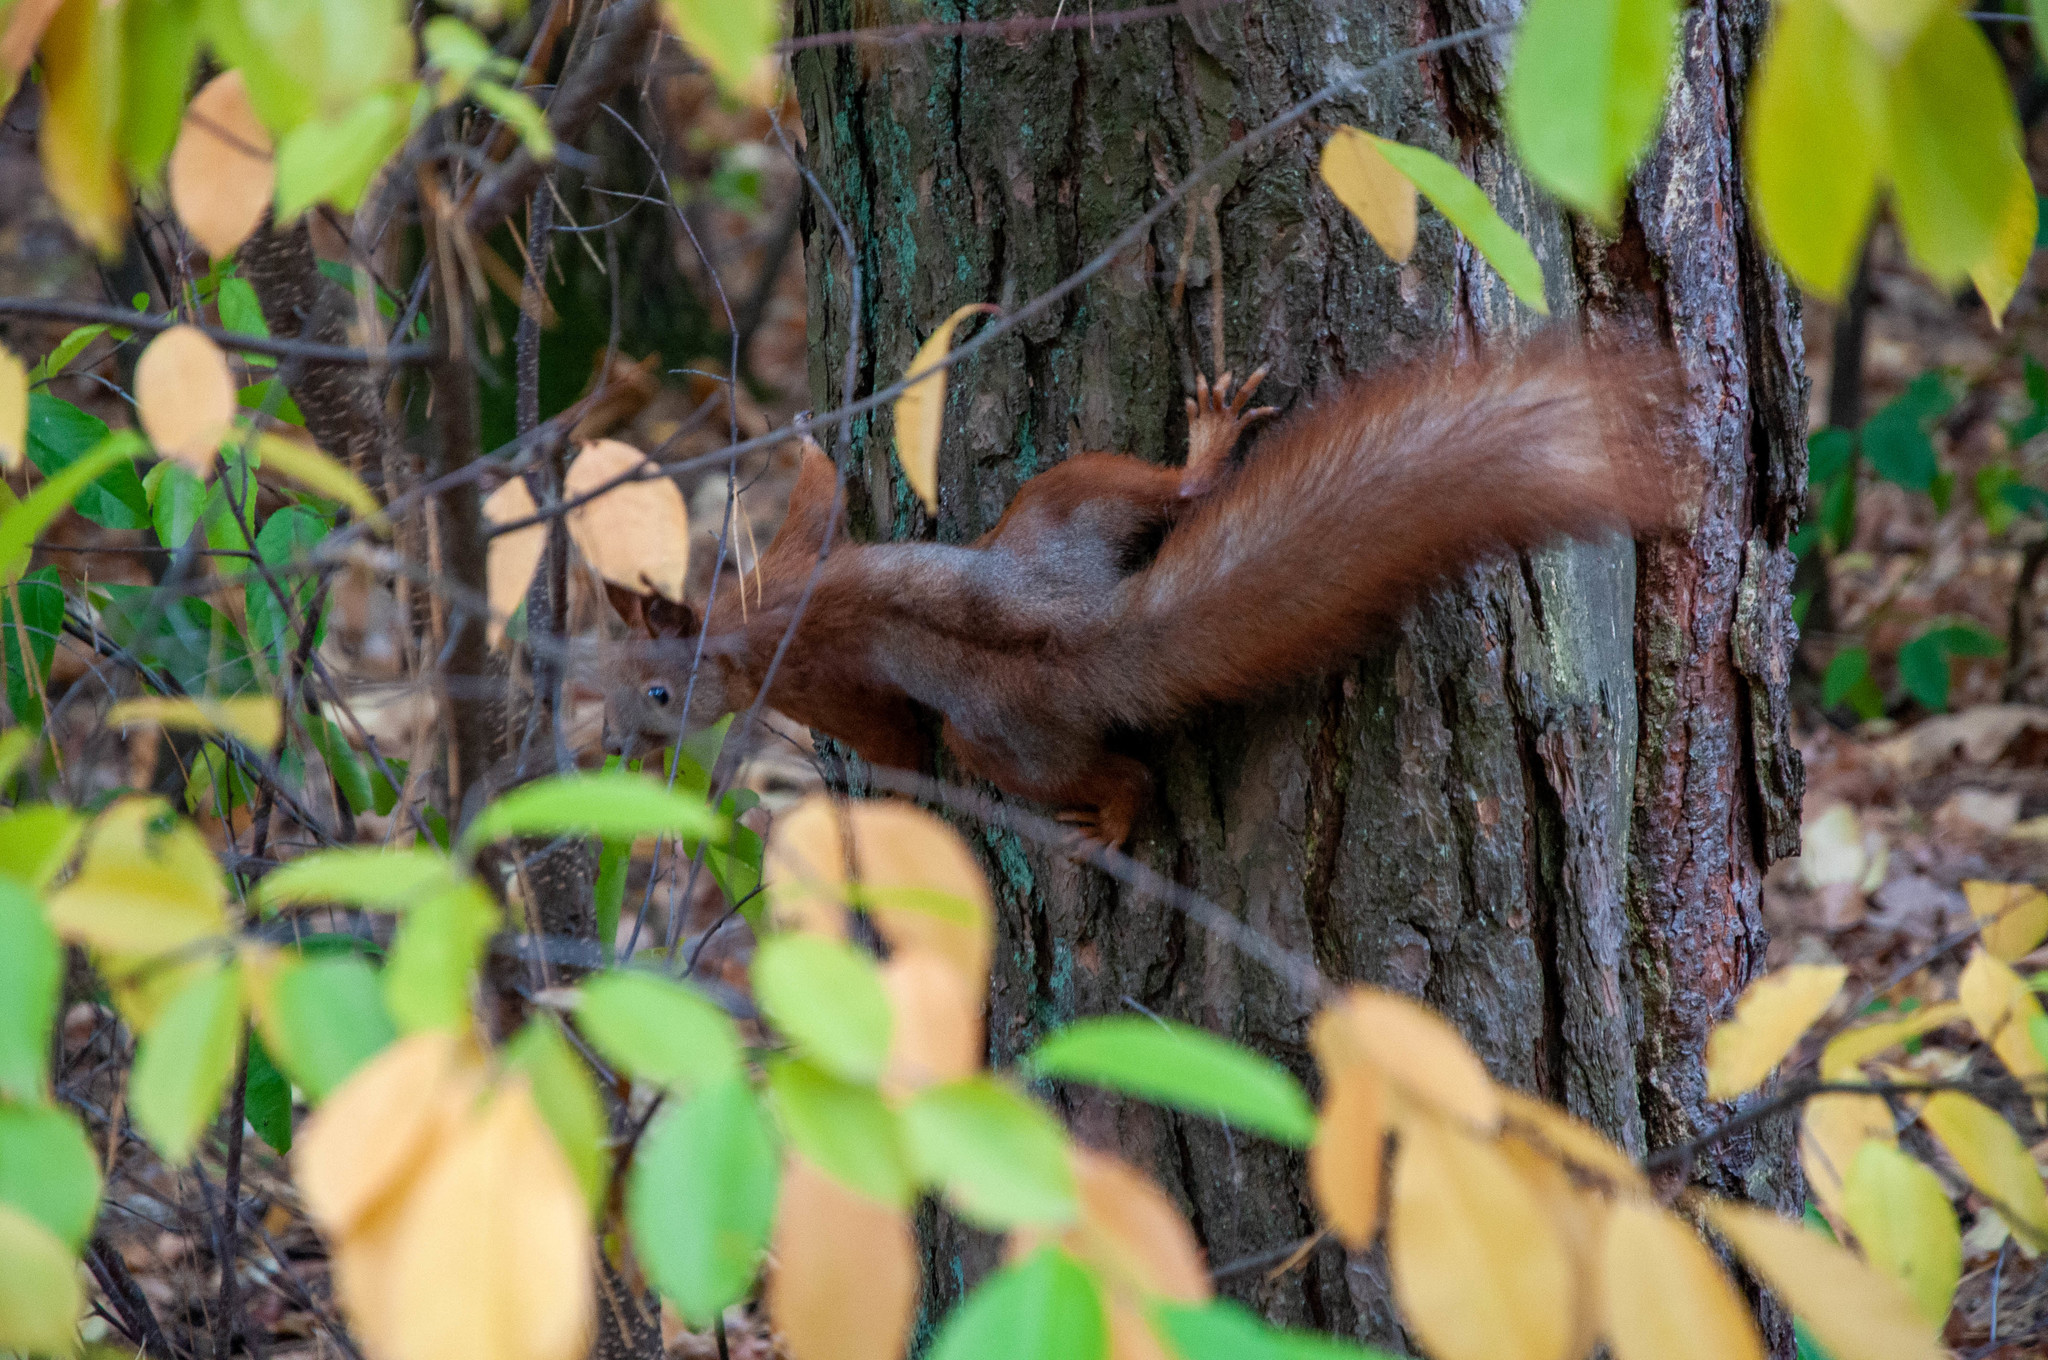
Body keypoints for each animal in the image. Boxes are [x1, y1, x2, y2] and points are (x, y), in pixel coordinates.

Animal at [602, 333, 1679, 843]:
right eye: (601, 677)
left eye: (657, 693)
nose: (611, 748)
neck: (748, 621)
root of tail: (1083, 630)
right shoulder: (785, 563)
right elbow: (823, 502)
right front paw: (814, 435)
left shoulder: (801, 665)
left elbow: (890, 736)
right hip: (1065, 506)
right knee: (1175, 495)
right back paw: (1207, 447)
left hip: (1003, 735)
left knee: (1112, 773)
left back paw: (1111, 817)